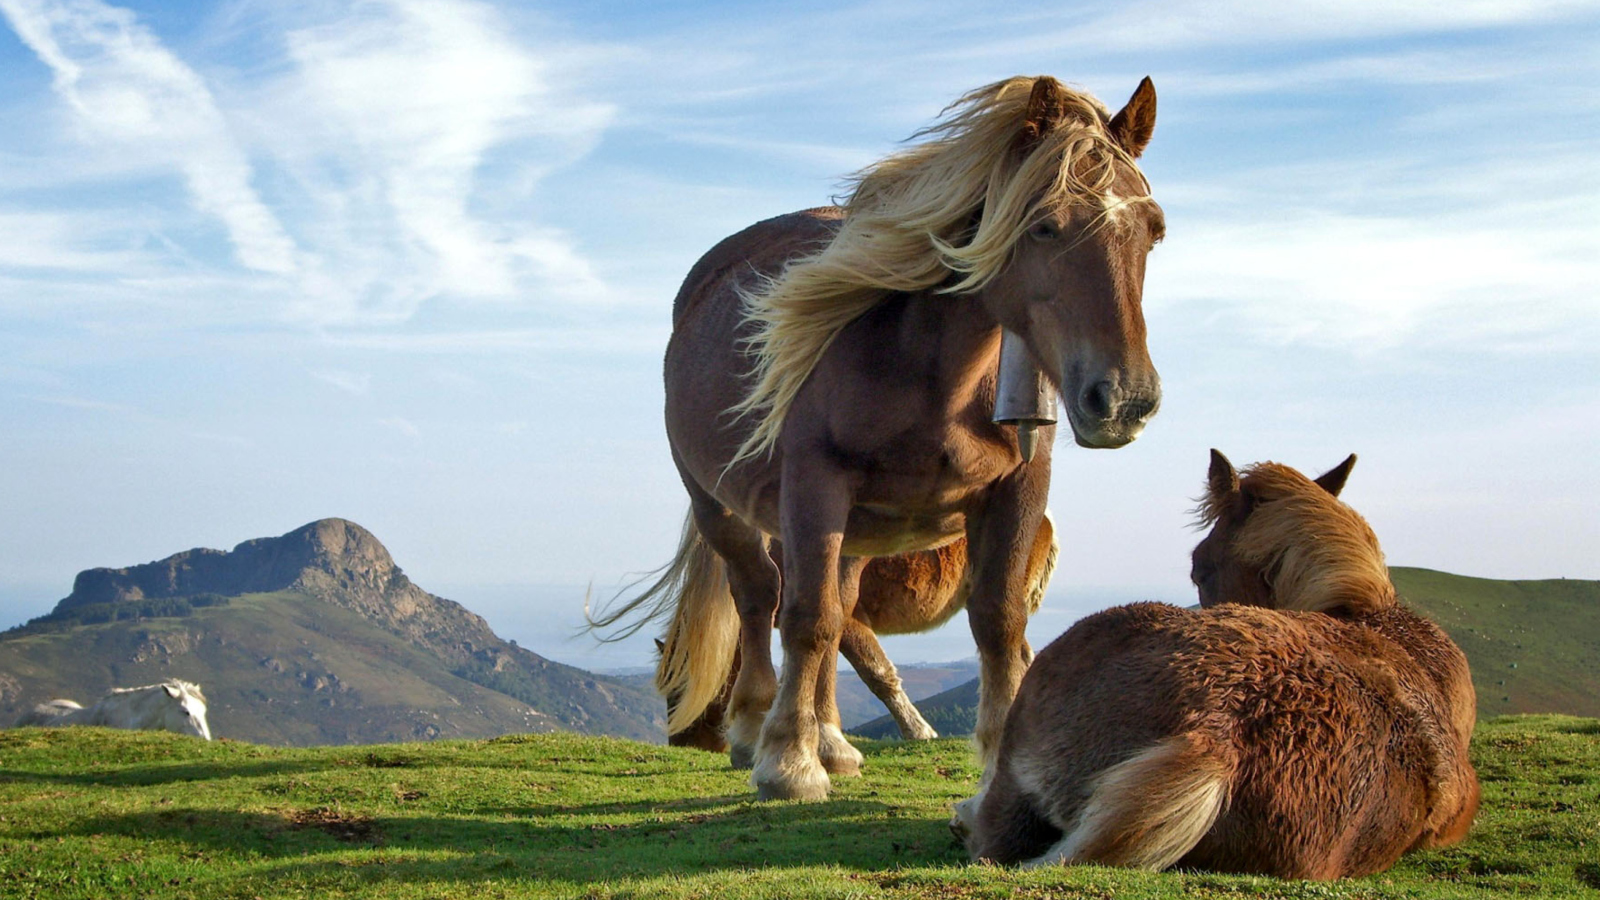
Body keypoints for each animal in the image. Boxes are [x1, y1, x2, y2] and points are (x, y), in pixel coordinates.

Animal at [665, 512, 1062, 749]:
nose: (685, 745)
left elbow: (878, 675)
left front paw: (918, 731)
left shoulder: (849, 622)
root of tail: (1045, 520)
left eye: (681, 695)